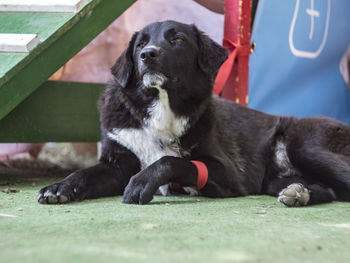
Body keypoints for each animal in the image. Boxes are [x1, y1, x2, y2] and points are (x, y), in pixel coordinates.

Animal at [38, 20, 350, 207]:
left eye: (177, 39)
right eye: (140, 44)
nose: (148, 55)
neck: (161, 112)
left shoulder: (229, 174)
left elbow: (171, 161)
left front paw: (142, 181)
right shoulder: (115, 165)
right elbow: (84, 173)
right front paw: (59, 187)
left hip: (304, 145)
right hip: (276, 178)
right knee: (329, 190)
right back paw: (299, 194)